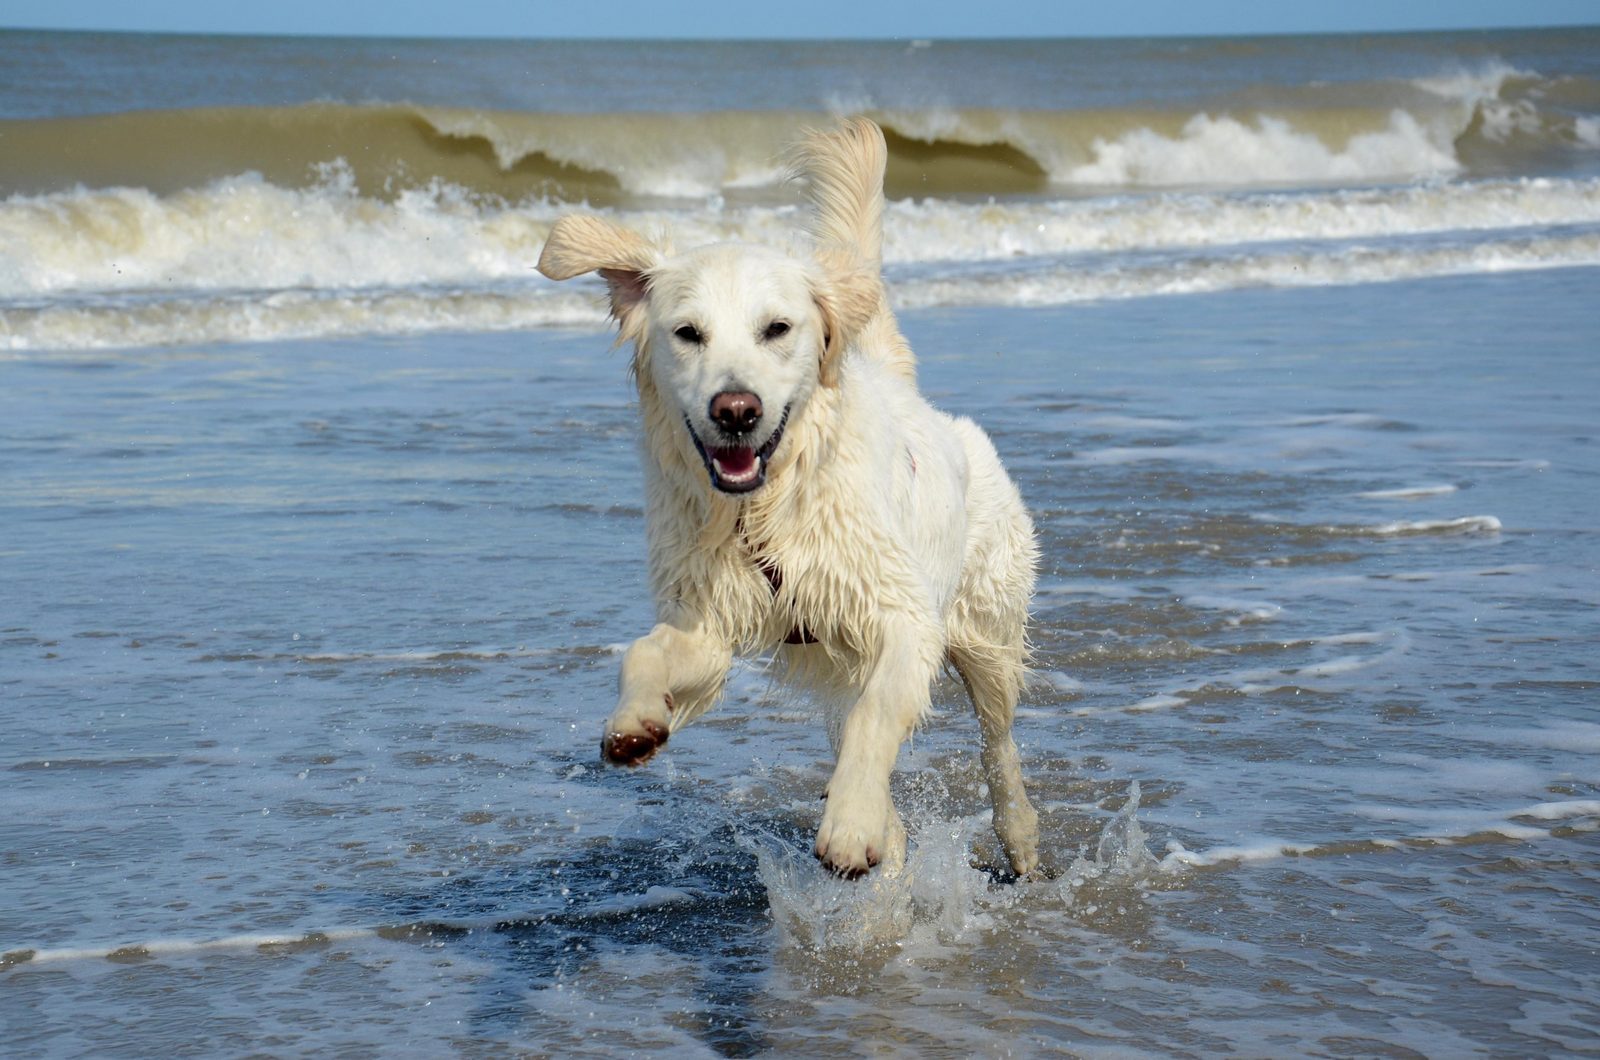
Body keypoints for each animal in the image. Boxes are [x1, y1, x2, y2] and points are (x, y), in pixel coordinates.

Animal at [531, 118, 1043, 877]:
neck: (763, 509)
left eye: (776, 328)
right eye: (687, 333)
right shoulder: (709, 617)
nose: (736, 410)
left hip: (986, 632)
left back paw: (1015, 837)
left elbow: (878, 715)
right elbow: (644, 652)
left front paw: (852, 824)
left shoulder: (902, 616)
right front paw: (632, 724)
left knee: (997, 742)